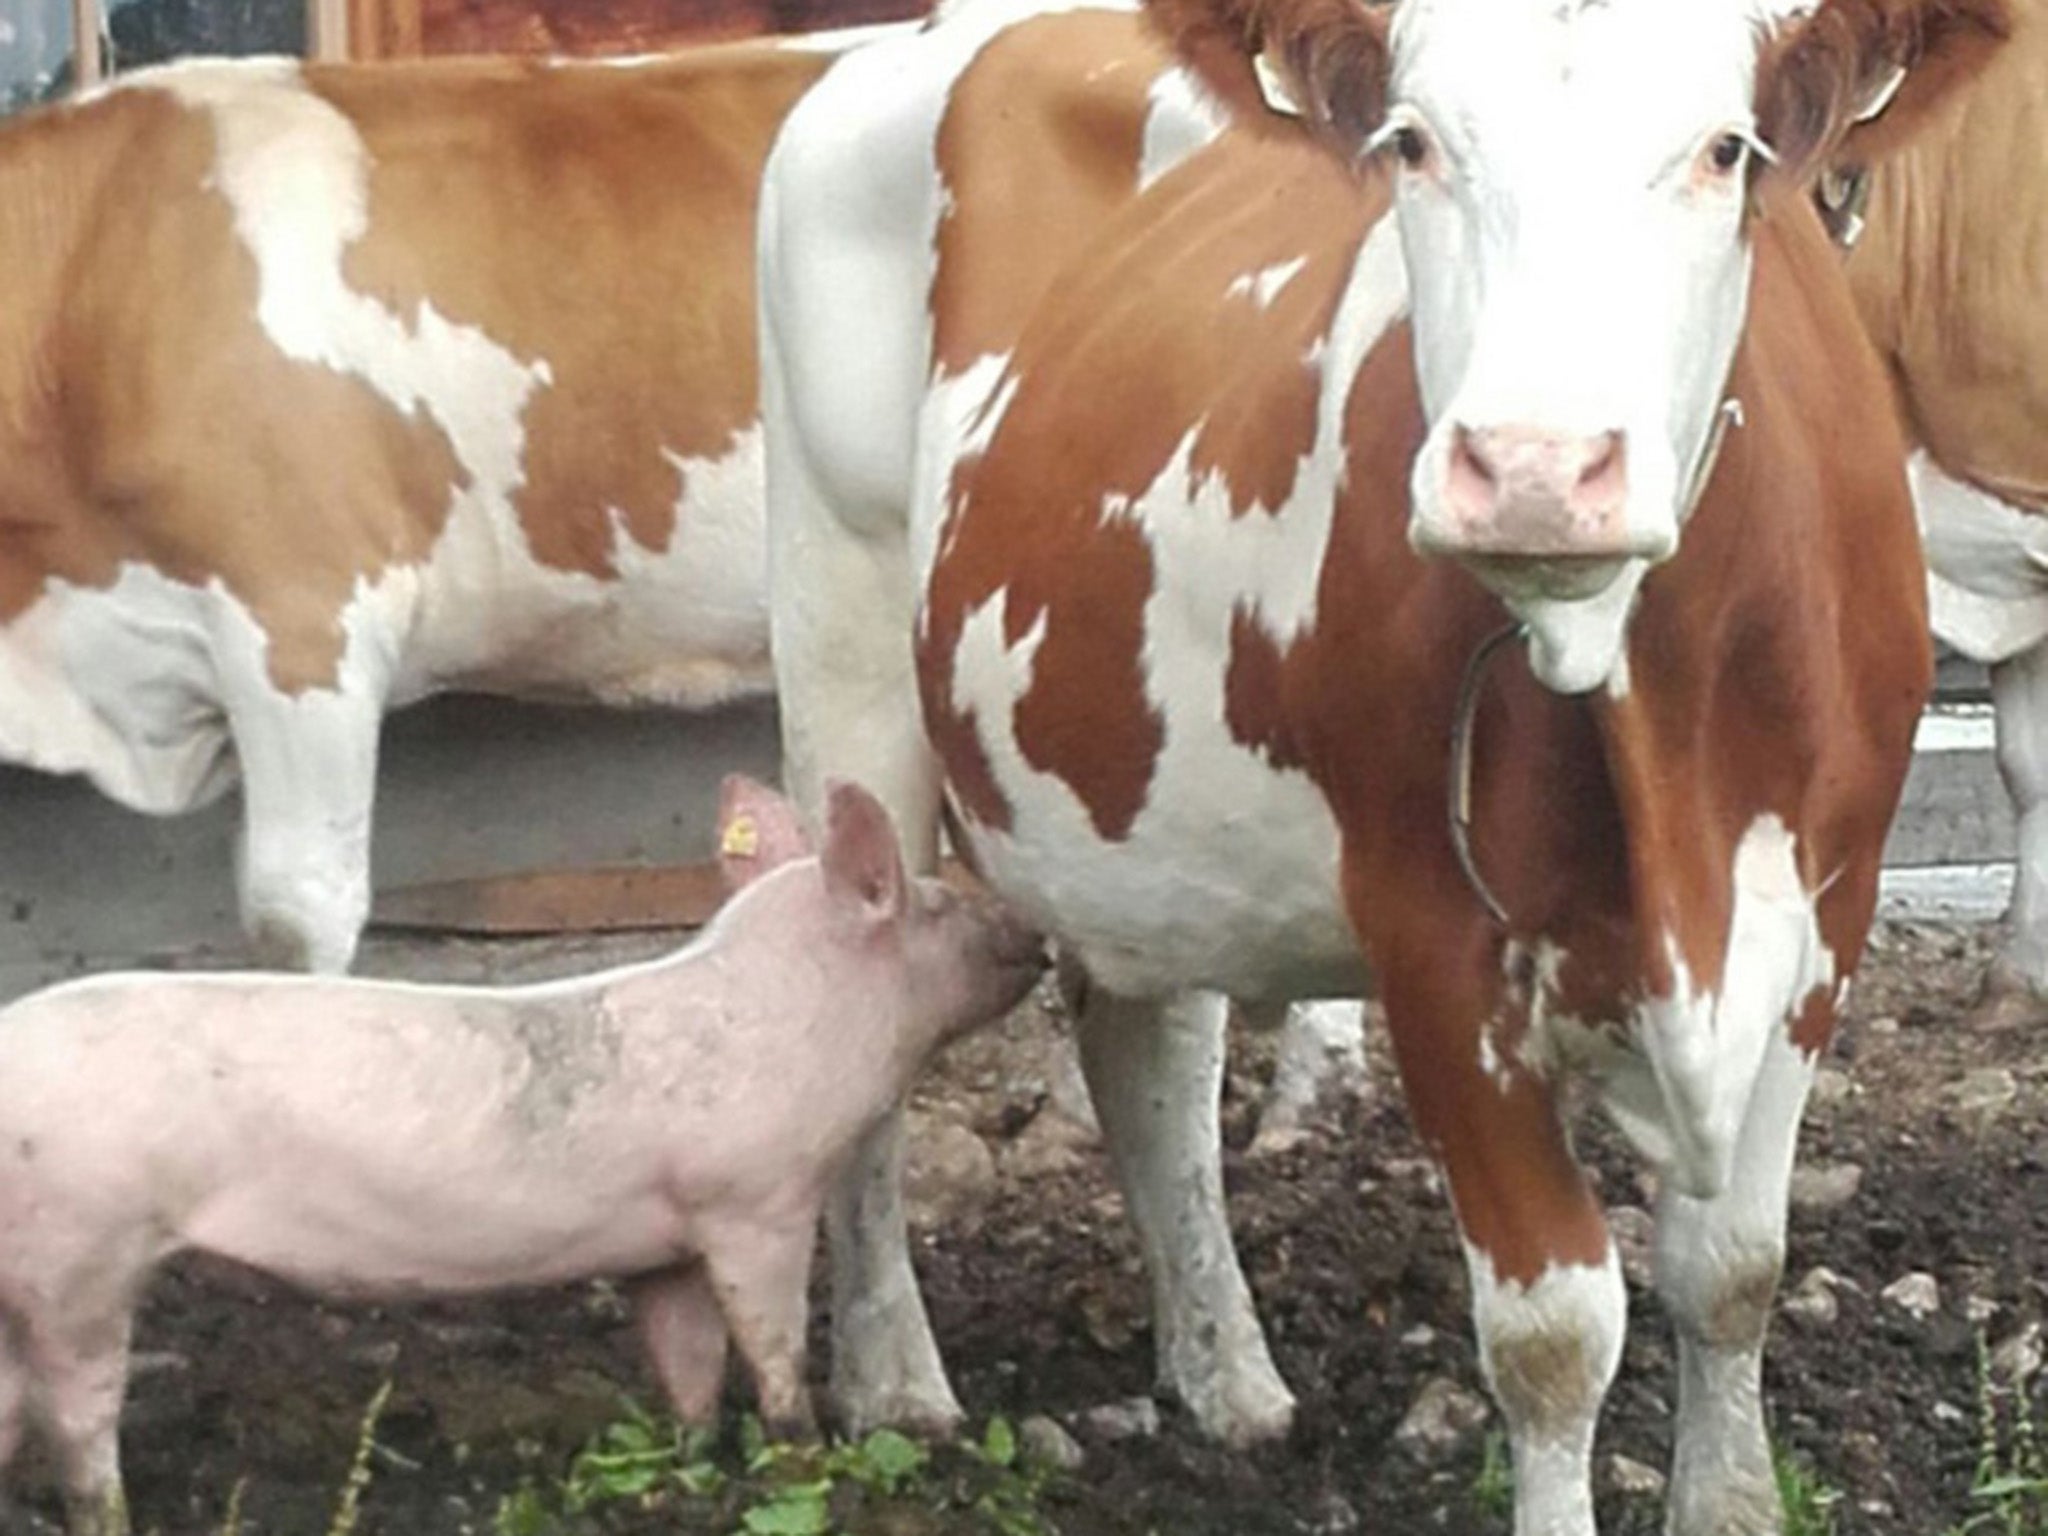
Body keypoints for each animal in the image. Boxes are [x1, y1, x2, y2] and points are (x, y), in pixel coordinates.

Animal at [0, 782, 1040, 1536]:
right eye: (936, 902)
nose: (1031, 930)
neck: (791, 1009)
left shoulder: (667, 1242)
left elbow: (688, 1358)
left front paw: (692, 1462)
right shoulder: (754, 1200)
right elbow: (773, 1344)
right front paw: (804, 1458)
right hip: (82, 1249)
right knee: (78, 1419)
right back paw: (108, 1517)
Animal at [761, 0, 1990, 1531]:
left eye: (1724, 149)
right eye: (1412, 144)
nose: (1532, 468)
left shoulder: (1828, 916)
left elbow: (1731, 1272)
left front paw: (1731, 1501)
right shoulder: (1435, 940)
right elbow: (1553, 1333)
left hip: (1137, 796)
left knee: (1150, 1050)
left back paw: (1223, 1373)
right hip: (841, 650)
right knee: (861, 1014)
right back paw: (889, 1379)